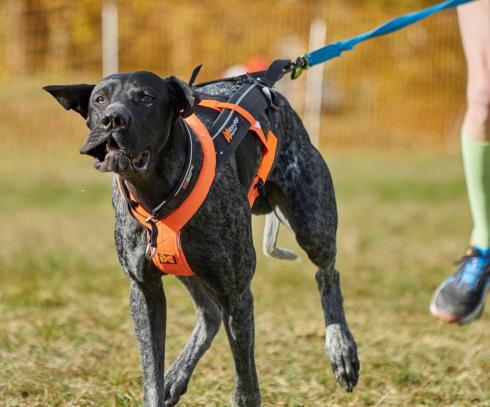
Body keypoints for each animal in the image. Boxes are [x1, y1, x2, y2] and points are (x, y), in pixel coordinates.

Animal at [44, 71, 359, 407]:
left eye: (147, 97)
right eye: (100, 99)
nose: (112, 119)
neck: (158, 191)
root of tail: (268, 88)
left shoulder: (236, 295)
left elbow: (246, 384)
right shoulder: (144, 290)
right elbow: (151, 374)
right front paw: (161, 384)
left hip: (313, 225)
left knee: (327, 275)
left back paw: (341, 350)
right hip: (189, 268)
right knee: (209, 314)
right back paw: (176, 376)